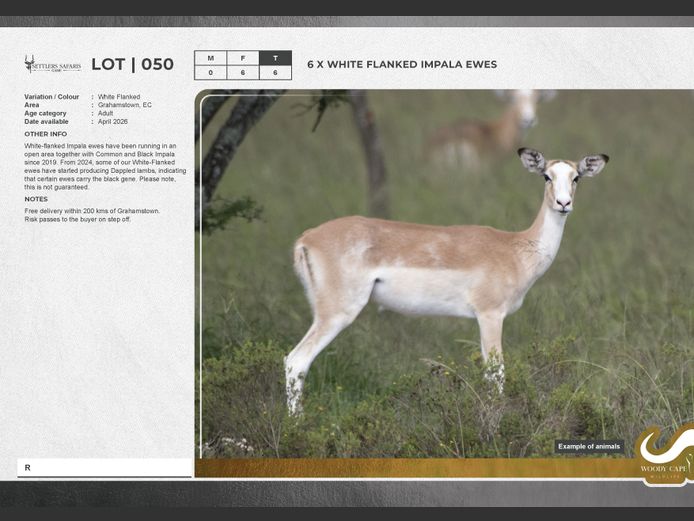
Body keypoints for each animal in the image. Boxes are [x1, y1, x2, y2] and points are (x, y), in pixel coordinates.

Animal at [285, 148, 608, 415]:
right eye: (546, 176)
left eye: (576, 177)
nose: (564, 203)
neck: (515, 248)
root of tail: (306, 238)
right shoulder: (490, 314)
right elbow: (496, 374)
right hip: (336, 313)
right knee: (296, 362)